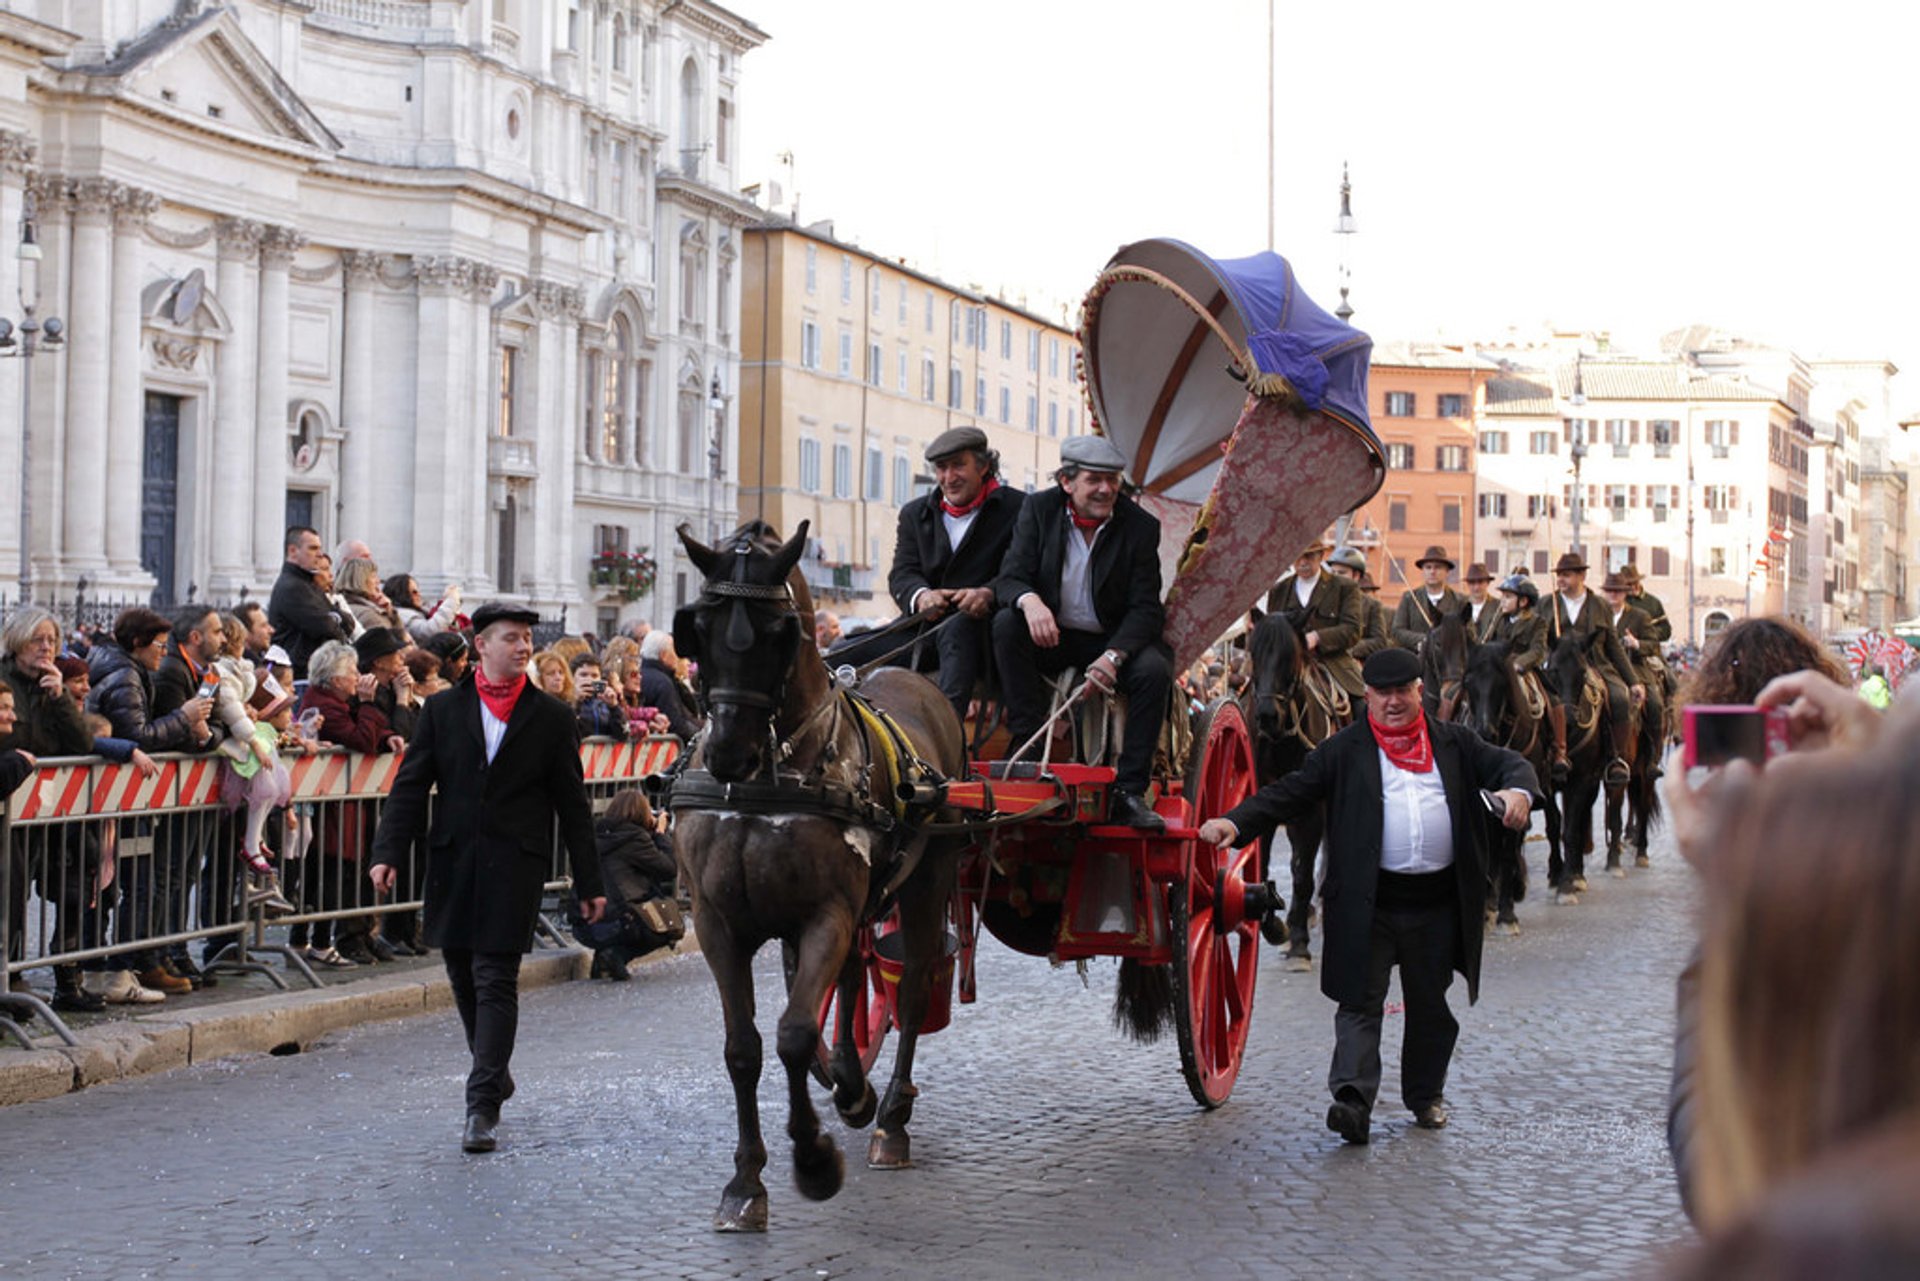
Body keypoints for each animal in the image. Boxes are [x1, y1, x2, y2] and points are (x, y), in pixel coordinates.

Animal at [668, 522, 967, 1229]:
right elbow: (744, 1047)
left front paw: (813, 1159)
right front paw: (746, 1181)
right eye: (697, 627)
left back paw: (890, 1117)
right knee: (857, 976)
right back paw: (853, 1085)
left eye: (780, 632)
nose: (727, 751)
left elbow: (796, 1034)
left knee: (912, 987)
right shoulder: (720, 923)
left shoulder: (824, 913)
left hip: (925, 883)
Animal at [1244, 610, 1351, 971]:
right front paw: (1274, 925)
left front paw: (1300, 942)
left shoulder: (1311, 812)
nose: (1266, 716)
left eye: (1290, 657)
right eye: (1253, 653)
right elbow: (1262, 865)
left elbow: (1303, 874)